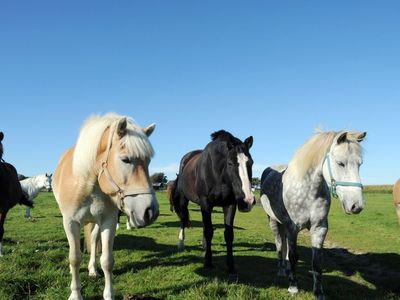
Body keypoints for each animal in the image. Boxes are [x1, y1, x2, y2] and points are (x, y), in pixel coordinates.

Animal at [52, 113, 159, 298]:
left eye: (148, 161)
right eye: (125, 159)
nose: (150, 212)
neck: (88, 184)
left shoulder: (108, 222)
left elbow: (107, 261)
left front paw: (109, 294)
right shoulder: (70, 223)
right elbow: (74, 258)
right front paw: (75, 294)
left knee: (94, 241)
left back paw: (92, 270)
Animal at [171, 130, 253, 280]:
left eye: (251, 162)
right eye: (230, 163)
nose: (248, 201)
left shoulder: (230, 205)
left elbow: (228, 234)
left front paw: (231, 267)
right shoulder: (206, 203)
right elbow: (209, 231)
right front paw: (208, 262)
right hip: (183, 200)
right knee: (183, 219)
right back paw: (181, 243)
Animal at [260, 131, 368, 300]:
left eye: (359, 164)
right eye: (340, 163)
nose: (356, 206)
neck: (308, 191)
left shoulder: (319, 228)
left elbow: (316, 262)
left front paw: (318, 292)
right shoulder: (292, 228)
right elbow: (294, 256)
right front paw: (293, 287)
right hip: (273, 221)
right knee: (279, 244)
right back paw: (282, 271)